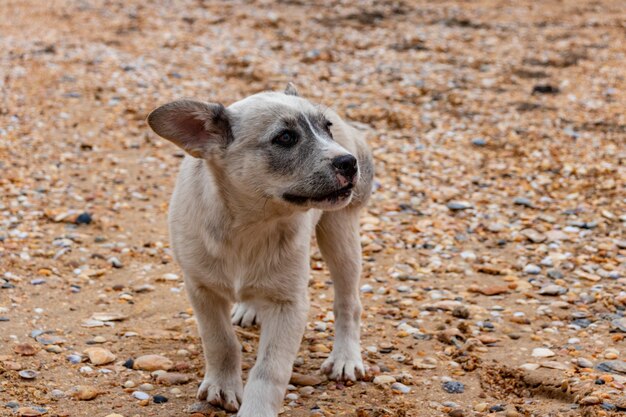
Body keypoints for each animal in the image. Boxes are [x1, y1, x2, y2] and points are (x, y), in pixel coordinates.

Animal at [146, 84, 370, 416]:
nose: (349, 162)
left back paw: (346, 357)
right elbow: (220, 342)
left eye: (326, 129)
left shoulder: (289, 304)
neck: (250, 225)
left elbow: (270, 370)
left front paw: (255, 410)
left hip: (340, 233)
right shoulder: (201, 290)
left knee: (348, 303)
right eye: (285, 138)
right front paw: (222, 386)